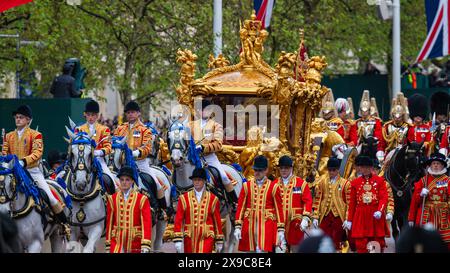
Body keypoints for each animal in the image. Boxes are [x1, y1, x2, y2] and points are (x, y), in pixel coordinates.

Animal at [167, 120, 244, 252]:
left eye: (185, 138)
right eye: (169, 137)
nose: (177, 159)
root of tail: (234, 168)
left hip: (234, 213)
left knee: (232, 238)